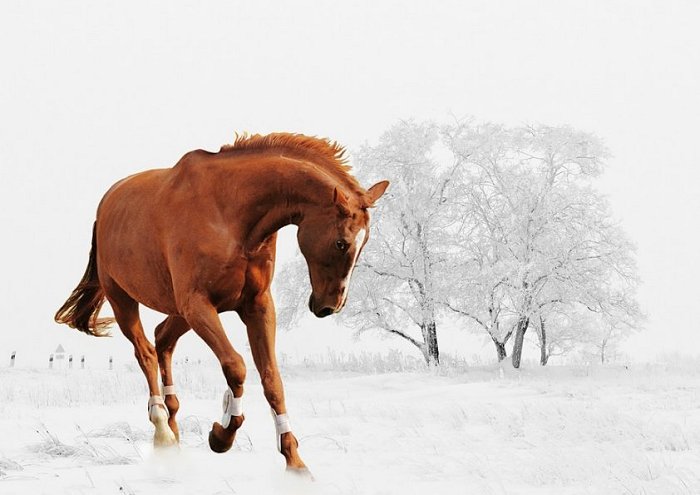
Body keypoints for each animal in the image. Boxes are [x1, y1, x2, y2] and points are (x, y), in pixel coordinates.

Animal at [54, 133, 389, 472]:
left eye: (365, 242)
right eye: (341, 243)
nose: (329, 305)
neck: (231, 214)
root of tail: (106, 205)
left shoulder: (257, 307)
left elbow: (272, 380)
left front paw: (294, 461)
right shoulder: (198, 305)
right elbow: (236, 366)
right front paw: (222, 435)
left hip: (179, 312)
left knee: (163, 338)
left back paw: (173, 426)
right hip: (124, 300)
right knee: (146, 352)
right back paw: (162, 429)